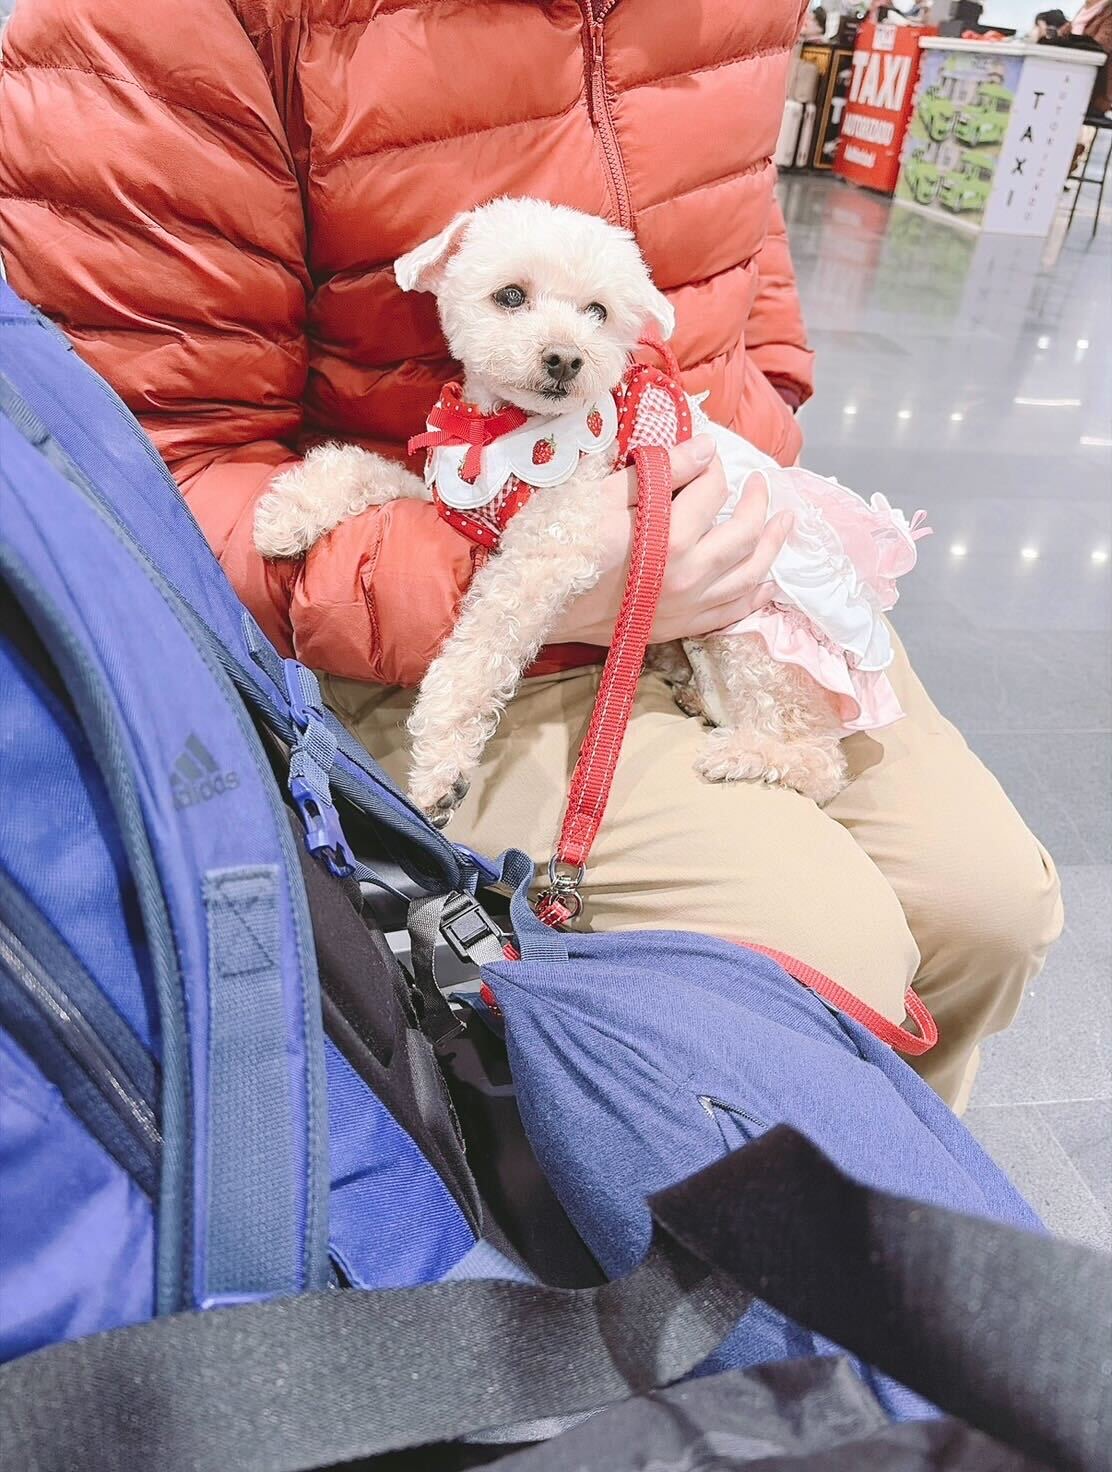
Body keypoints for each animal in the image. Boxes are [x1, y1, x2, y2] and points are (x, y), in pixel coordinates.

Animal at [254, 198, 927, 825]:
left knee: (821, 764)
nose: (565, 358)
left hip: (754, 645)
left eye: (598, 313)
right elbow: (361, 467)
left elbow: (480, 648)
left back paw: (743, 754)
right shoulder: (456, 505)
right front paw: (286, 514)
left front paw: (441, 766)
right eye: (511, 296)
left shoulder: (550, 543)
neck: (503, 429)